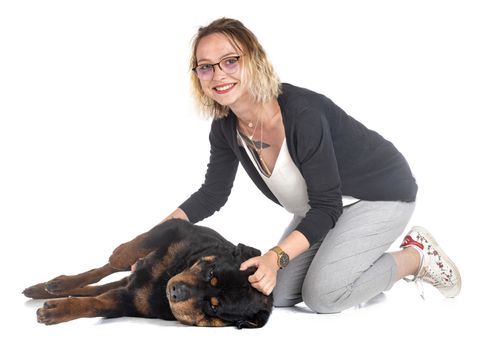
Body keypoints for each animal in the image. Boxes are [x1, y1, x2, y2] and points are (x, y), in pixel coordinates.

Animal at [23, 219, 274, 328]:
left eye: (214, 307)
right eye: (210, 271)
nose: (176, 291)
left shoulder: (128, 302)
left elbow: (96, 304)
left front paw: (58, 310)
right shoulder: (178, 228)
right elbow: (132, 249)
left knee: (100, 288)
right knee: (107, 269)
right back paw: (52, 285)